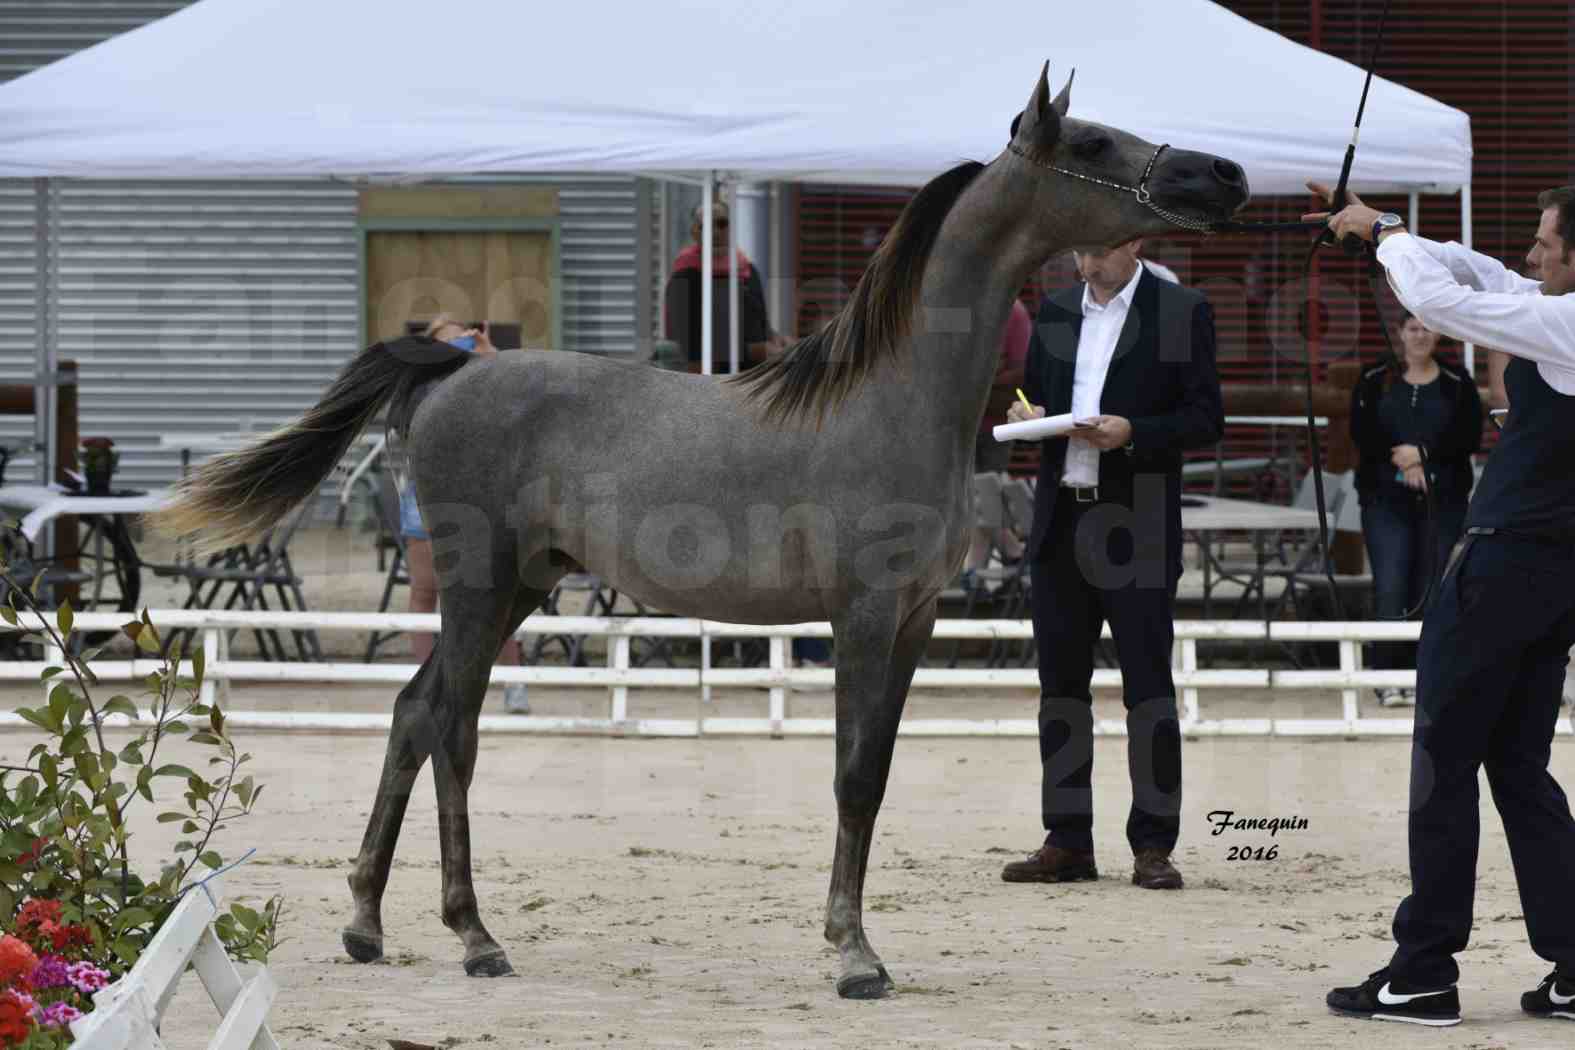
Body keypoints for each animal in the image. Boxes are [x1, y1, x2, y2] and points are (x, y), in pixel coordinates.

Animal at [153, 65, 1247, 1001]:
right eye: (1095, 140)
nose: (1222, 173)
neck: (891, 398)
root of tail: (452, 366)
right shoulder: (860, 618)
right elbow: (852, 777)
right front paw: (853, 956)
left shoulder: (916, 621)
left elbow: (877, 777)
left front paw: (857, 943)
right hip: (475, 585)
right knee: (453, 728)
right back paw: (474, 937)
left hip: (520, 589)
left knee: (411, 714)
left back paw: (368, 924)